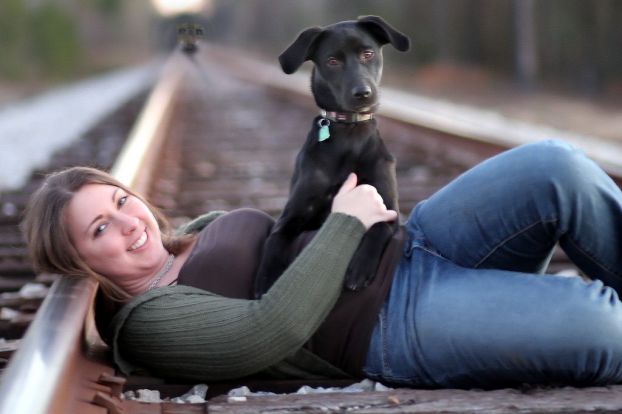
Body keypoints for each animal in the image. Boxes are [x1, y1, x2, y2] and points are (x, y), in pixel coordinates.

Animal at [254, 14, 410, 296]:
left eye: (368, 53)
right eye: (332, 61)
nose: (362, 93)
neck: (350, 133)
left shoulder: (390, 210)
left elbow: (379, 227)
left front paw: (360, 268)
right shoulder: (291, 216)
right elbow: (275, 240)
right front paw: (266, 281)